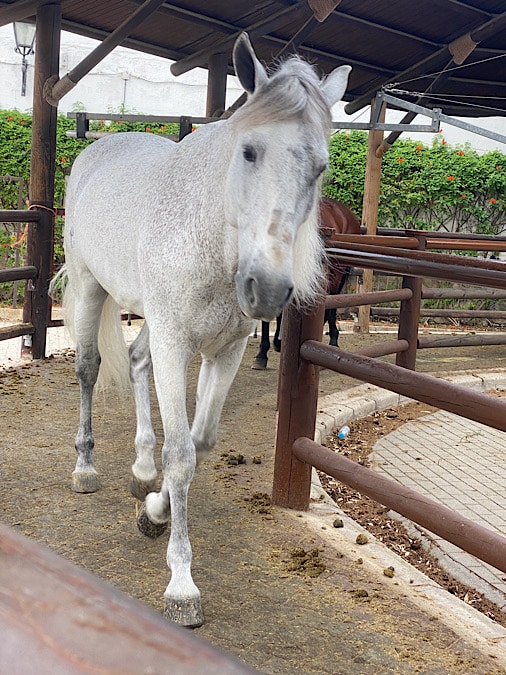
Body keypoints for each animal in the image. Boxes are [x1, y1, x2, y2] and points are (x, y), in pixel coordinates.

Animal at [54, 34, 348, 628]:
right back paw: (86, 467)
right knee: (90, 370)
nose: (267, 288)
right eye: (249, 151)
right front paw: (182, 583)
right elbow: (183, 455)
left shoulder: (225, 350)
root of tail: (97, 151)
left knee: (136, 362)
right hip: (93, 288)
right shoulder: (176, 343)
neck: (212, 237)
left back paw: (141, 467)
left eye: (320, 168)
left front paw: (153, 508)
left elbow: (202, 439)